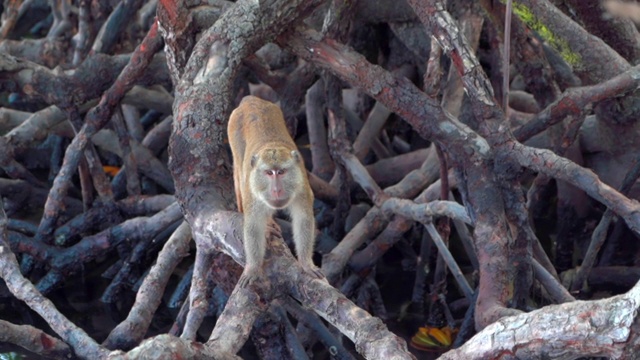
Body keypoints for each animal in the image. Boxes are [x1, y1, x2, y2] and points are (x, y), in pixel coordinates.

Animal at [226, 95, 324, 286]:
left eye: (281, 172)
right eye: (269, 173)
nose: (277, 190)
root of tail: (250, 100)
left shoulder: (301, 188)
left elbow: (303, 220)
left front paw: (306, 263)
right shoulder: (254, 193)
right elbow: (253, 226)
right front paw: (253, 268)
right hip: (233, 130)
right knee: (240, 172)